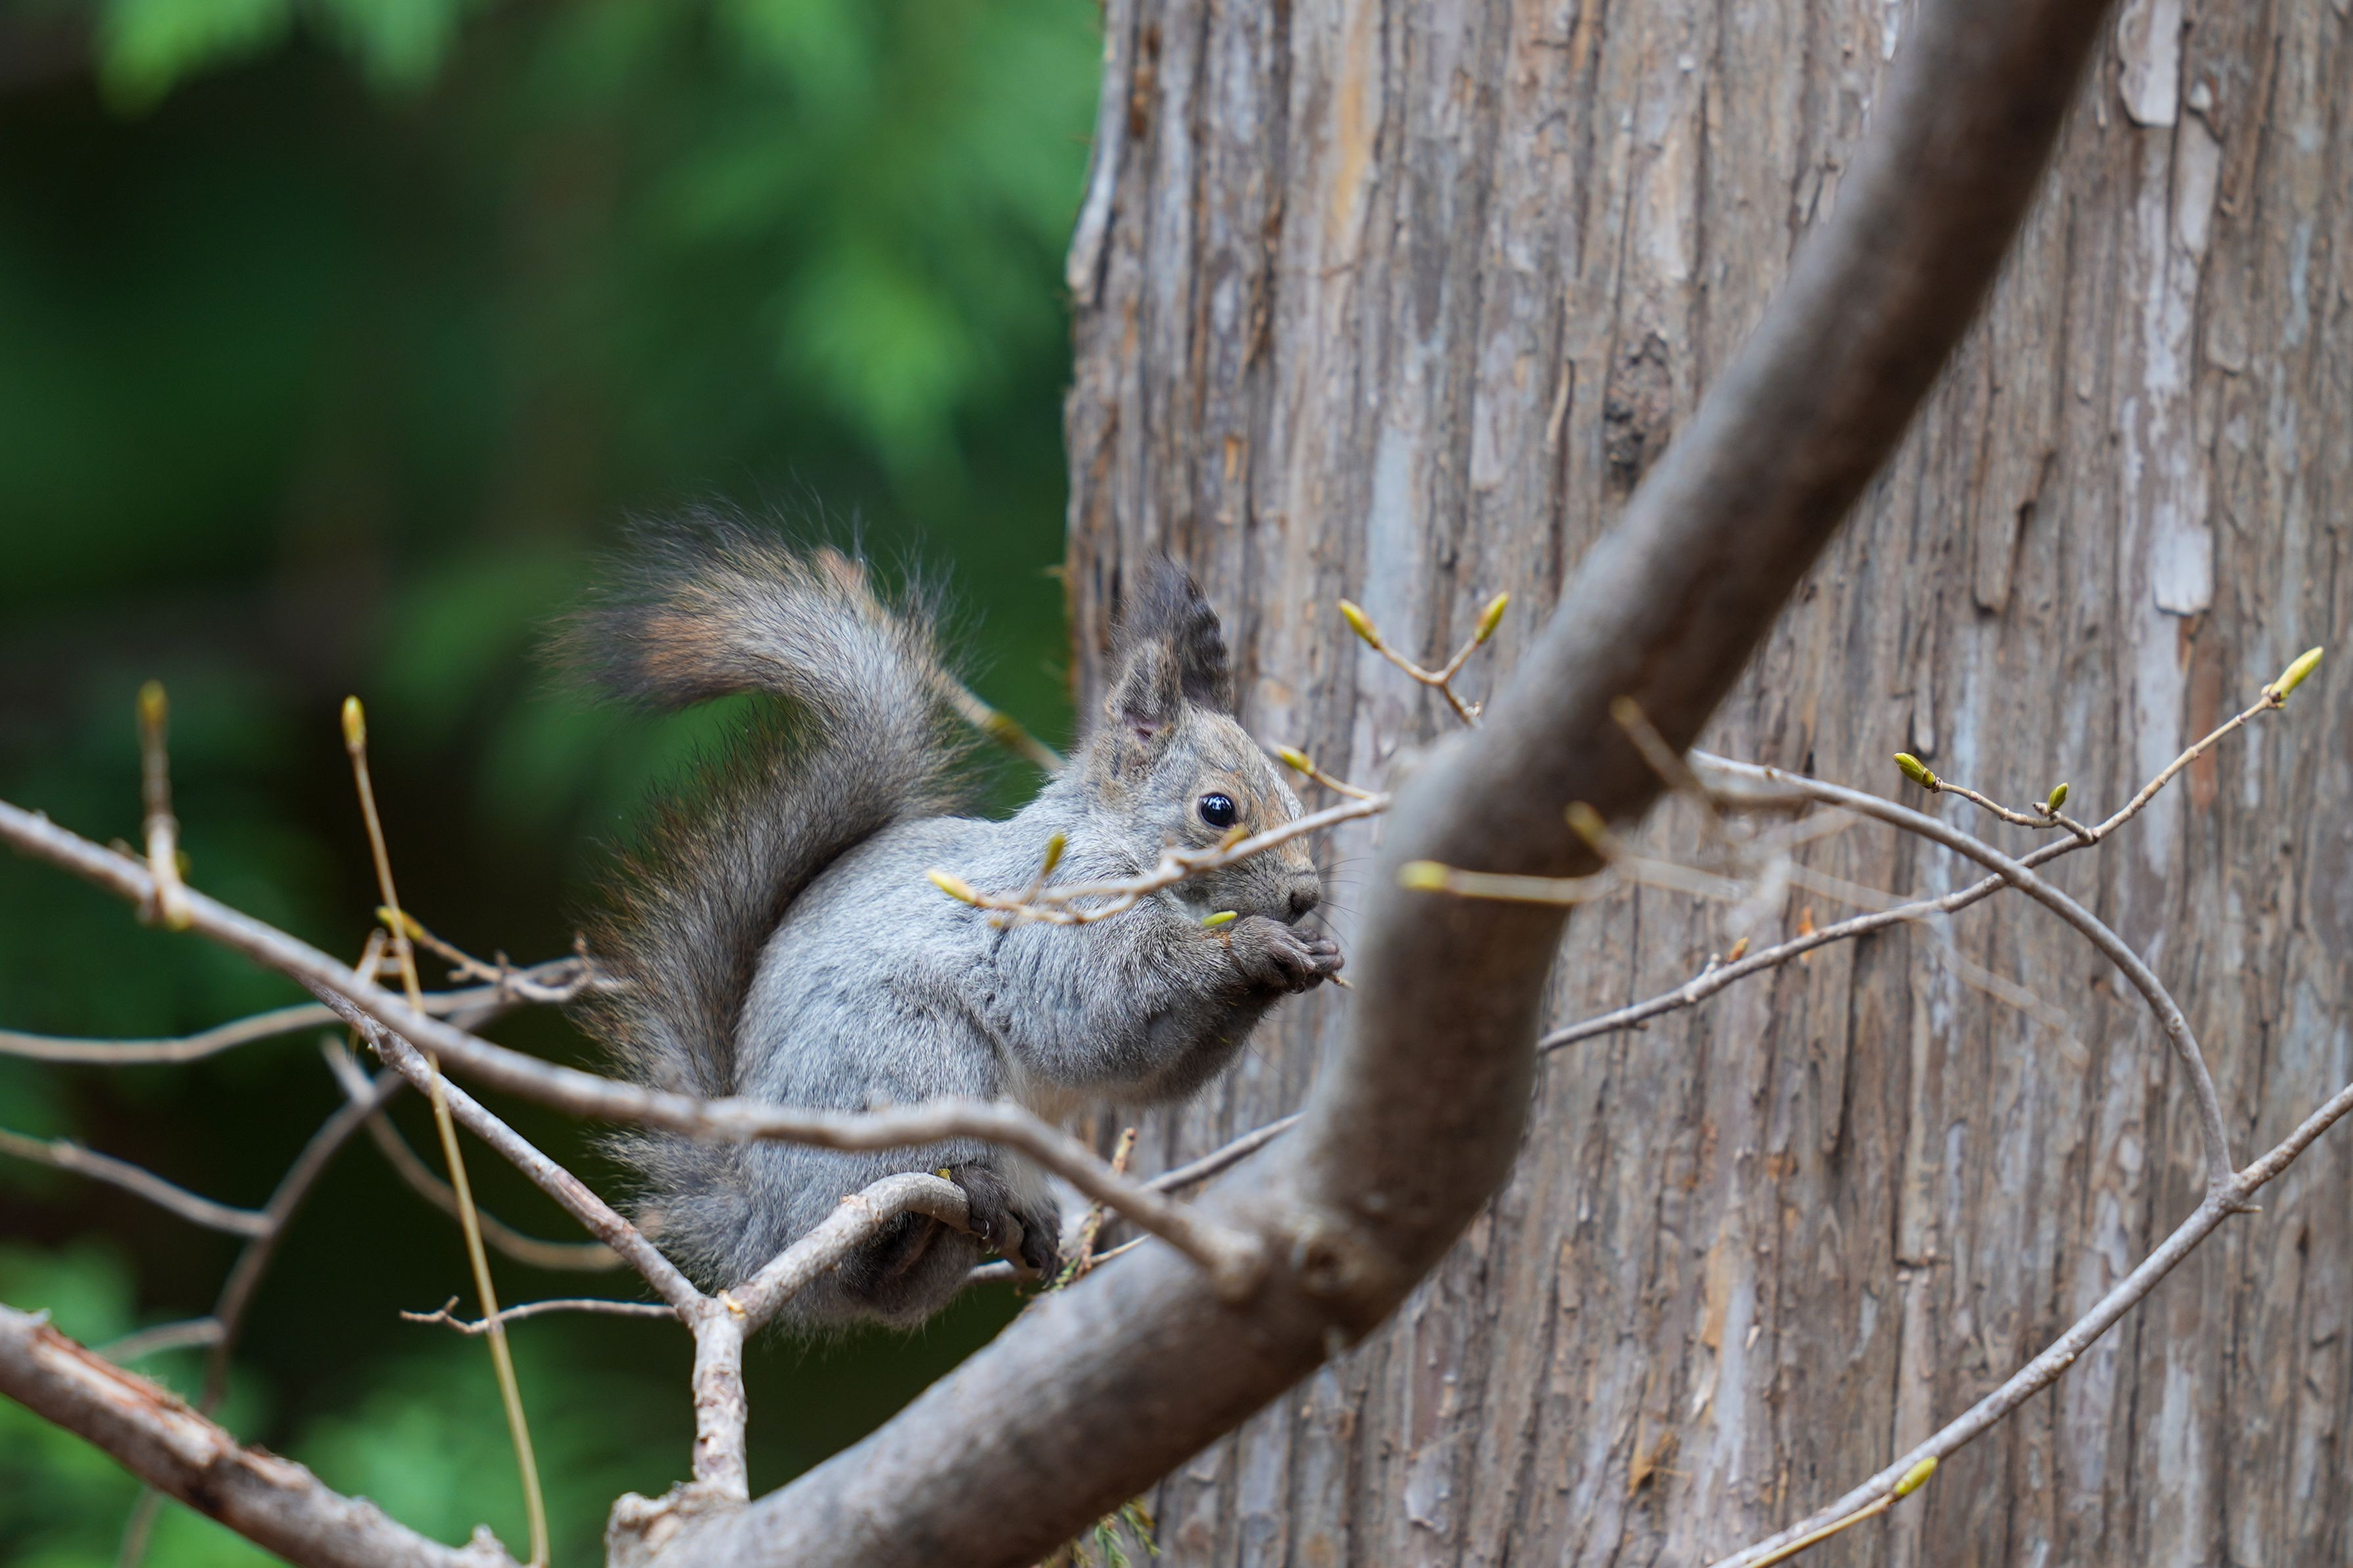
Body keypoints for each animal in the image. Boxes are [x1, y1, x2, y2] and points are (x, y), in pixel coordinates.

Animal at [561, 517, 1341, 1329]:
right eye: (1217, 808)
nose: (1305, 895)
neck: (1119, 845)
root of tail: (767, 1223)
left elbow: (1150, 1070)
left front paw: (1308, 953)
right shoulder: (1057, 916)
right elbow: (1106, 1013)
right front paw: (1253, 946)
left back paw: (1021, 1225)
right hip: (912, 1059)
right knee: (876, 1252)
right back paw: (942, 1203)